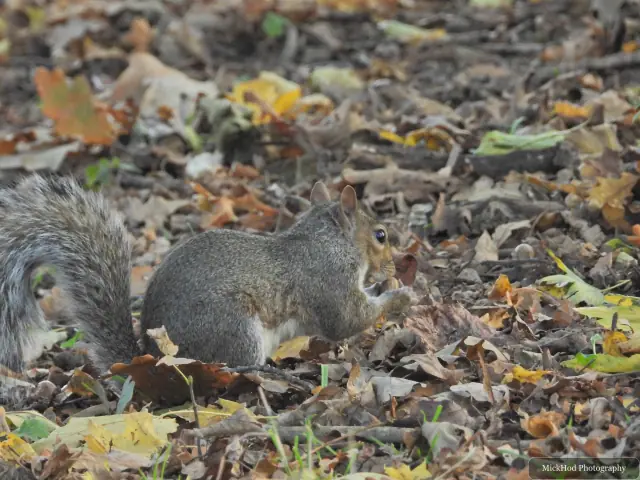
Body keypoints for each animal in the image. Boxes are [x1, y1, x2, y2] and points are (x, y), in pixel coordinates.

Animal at [0, 175, 415, 374]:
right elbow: (348, 319)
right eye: (380, 235)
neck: (328, 241)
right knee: (235, 364)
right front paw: (399, 296)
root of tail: (150, 355)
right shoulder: (328, 281)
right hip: (233, 326)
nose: (395, 266)